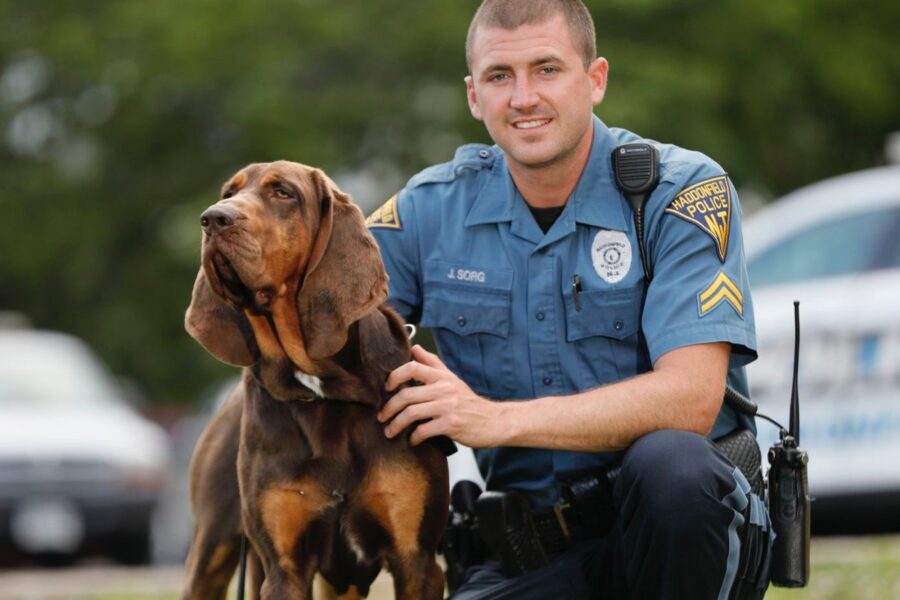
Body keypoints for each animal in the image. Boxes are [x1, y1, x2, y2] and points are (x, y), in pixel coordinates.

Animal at [183, 162, 450, 596]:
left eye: (283, 193)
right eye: (229, 193)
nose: (213, 219)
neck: (322, 388)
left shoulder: (418, 562)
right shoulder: (284, 567)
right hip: (211, 551)